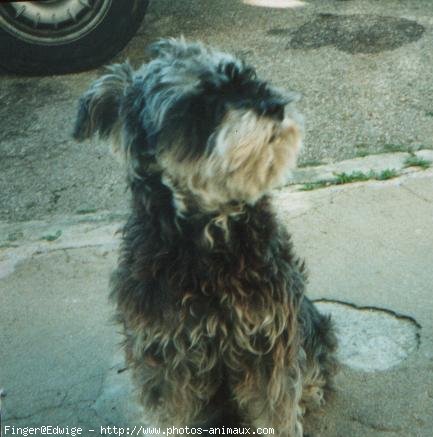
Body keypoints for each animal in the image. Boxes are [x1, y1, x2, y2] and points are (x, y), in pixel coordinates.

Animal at [73, 38, 338, 436]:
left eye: (247, 77)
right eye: (200, 102)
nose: (274, 106)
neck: (210, 243)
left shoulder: (268, 344)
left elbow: (276, 413)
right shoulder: (163, 359)